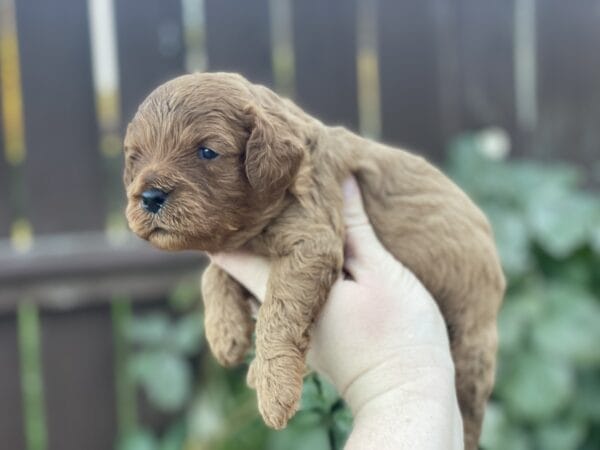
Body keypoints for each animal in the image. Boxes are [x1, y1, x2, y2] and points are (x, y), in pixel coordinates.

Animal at [124, 72, 504, 448]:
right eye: (134, 157)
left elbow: (277, 312)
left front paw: (274, 389)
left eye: (207, 151)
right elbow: (212, 274)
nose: (150, 197)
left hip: (472, 345)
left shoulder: (313, 241)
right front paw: (225, 332)